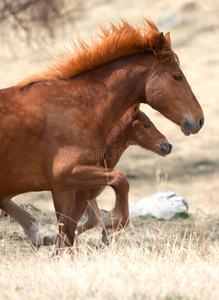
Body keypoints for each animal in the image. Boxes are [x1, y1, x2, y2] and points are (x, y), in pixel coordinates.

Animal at [0, 19, 204, 247]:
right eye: (177, 76)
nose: (199, 120)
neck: (80, 106)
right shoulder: (69, 175)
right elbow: (120, 183)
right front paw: (113, 224)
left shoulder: (64, 187)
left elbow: (69, 233)